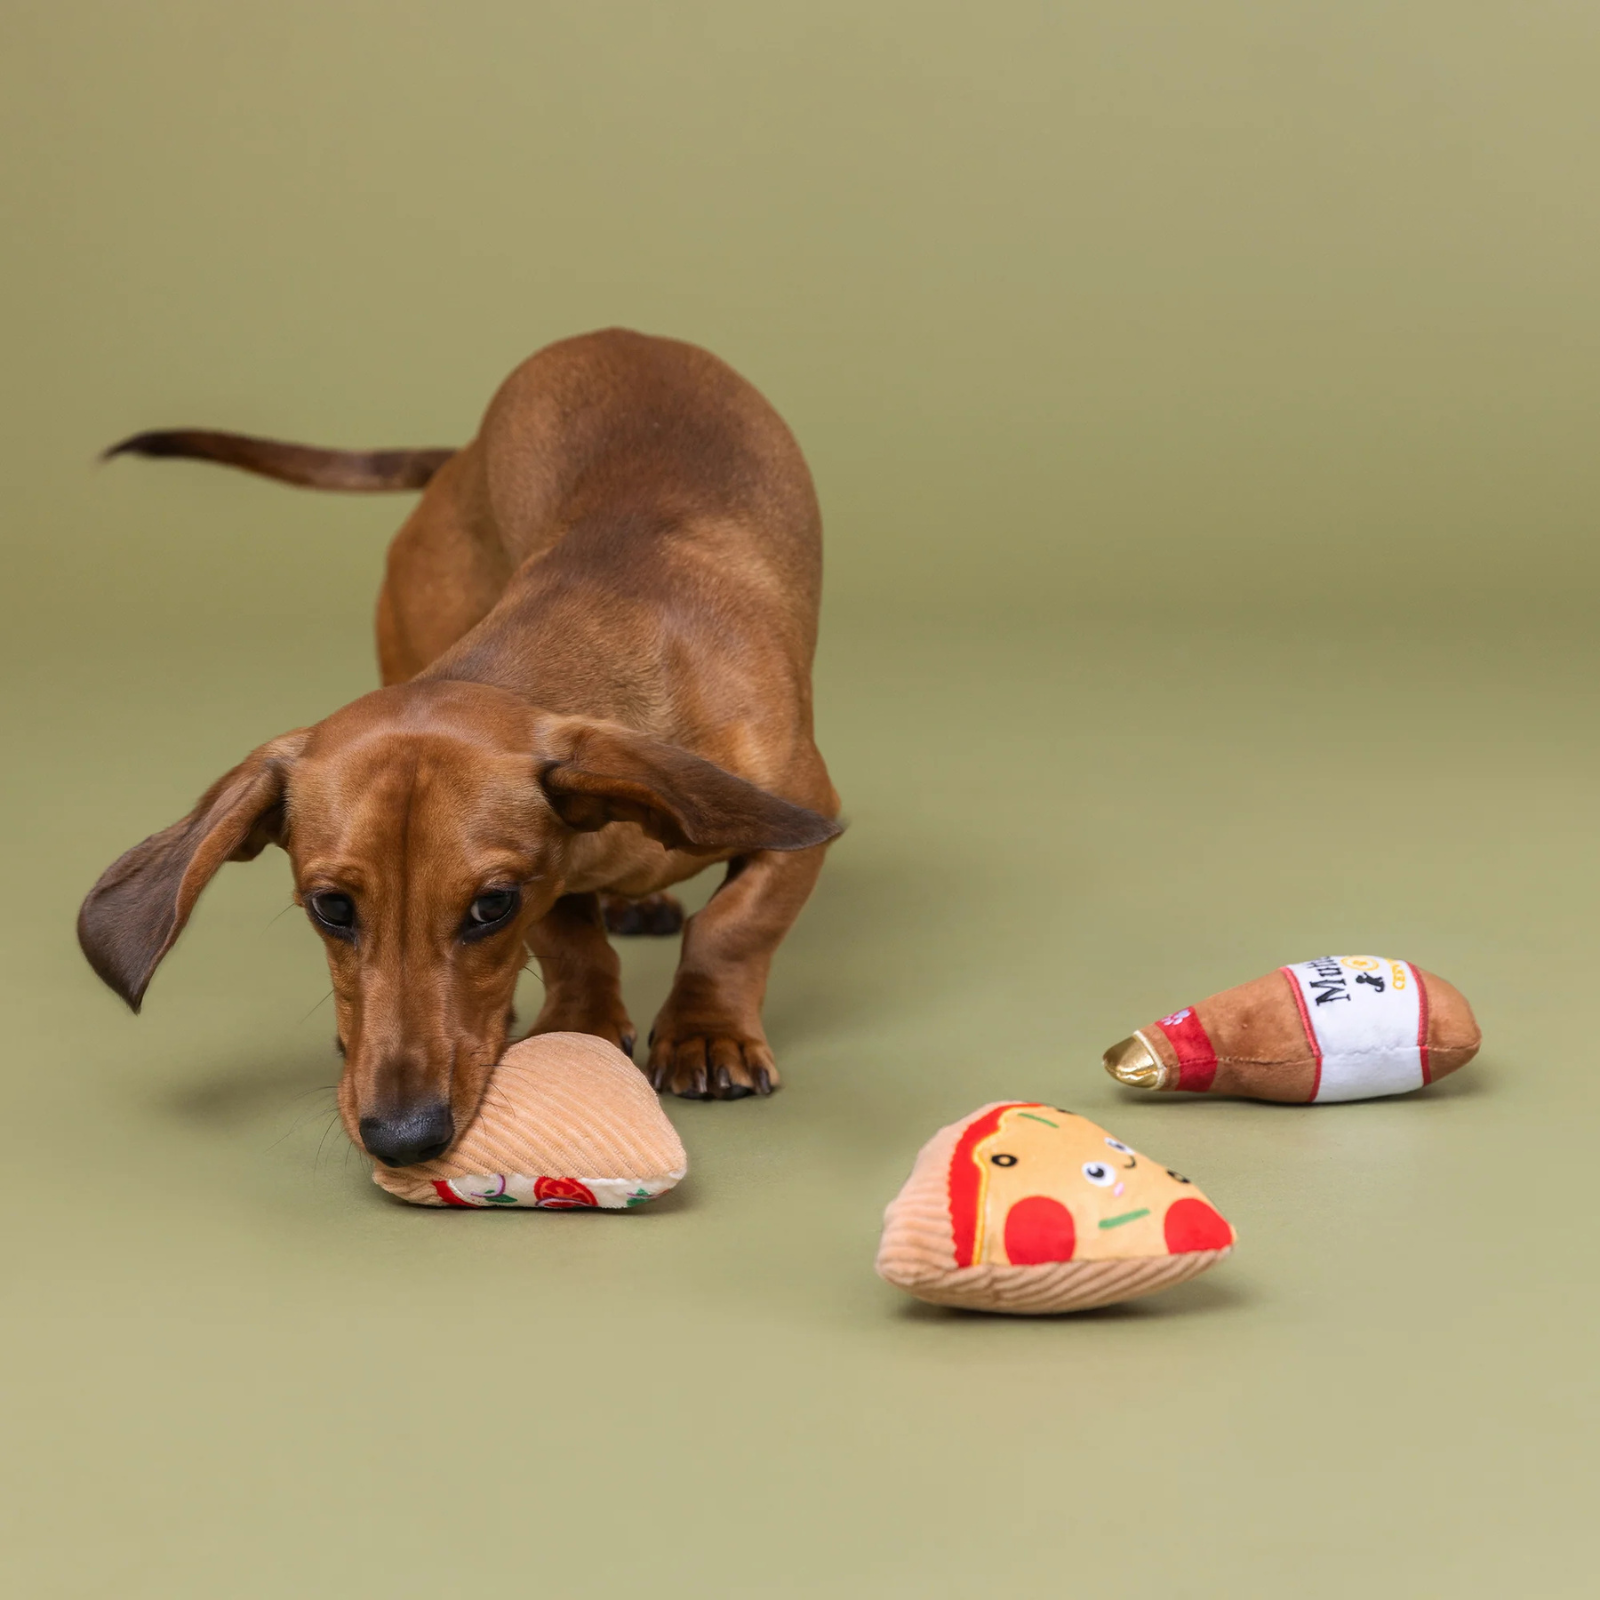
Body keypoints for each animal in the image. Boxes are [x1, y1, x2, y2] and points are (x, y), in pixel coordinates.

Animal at [78, 329, 841, 1167]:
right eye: (331, 908)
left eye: (490, 906)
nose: (402, 1137)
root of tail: (461, 458)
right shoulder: (555, 875)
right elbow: (575, 941)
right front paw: (579, 1023)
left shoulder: (801, 817)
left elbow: (733, 927)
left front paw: (708, 1034)